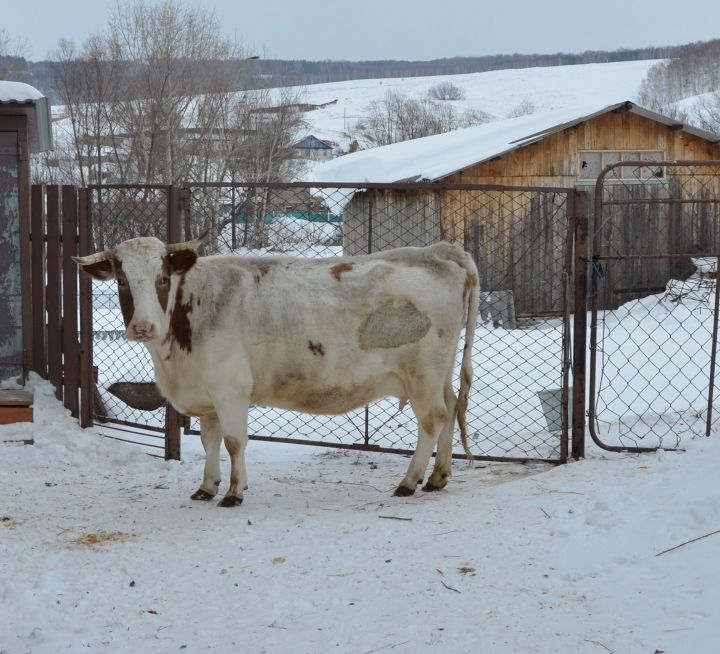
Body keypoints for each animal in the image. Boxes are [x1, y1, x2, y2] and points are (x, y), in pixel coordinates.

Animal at [74, 237, 478, 508]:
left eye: (161, 278)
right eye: (122, 280)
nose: (143, 327)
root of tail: (437, 251)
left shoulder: (231, 389)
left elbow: (234, 442)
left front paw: (234, 492)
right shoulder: (208, 393)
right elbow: (210, 442)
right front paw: (207, 487)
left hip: (422, 374)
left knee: (433, 419)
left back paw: (409, 482)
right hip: (438, 373)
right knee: (451, 408)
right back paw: (438, 478)